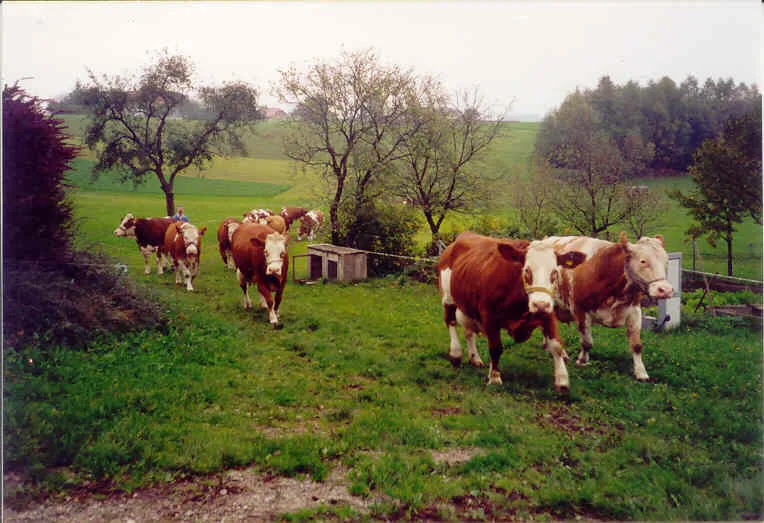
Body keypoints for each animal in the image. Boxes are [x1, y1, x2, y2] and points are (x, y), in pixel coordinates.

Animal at [438, 232, 586, 390]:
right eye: (527, 270)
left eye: (555, 272)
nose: (540, 304)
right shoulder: (489, 315)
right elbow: (495, 347)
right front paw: (494, 377)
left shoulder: (548, 312)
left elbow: (557, 345)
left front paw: (562, 380)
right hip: (448, 296)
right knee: (450, 321)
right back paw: (456, 353)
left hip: (467, 305)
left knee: (469, 331)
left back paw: (475, 358)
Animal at [542, 232, 673, 381]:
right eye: (643, 261)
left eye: (666, 261)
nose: (665, 290)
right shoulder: (579, 309)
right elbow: (587, 342)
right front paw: (582, 361)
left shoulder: (635, 311)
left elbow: (637, 345)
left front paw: (641, 373)